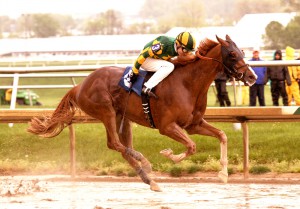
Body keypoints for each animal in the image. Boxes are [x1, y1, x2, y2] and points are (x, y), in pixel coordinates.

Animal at [28, 35, 256, 192]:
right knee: (115, 143)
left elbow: (222, 135)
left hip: (122, 117)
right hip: (106, 111)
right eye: (232, 54)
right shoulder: (167, 127)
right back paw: (145, 163)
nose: (252, 77)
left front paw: (223, 175)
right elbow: (191, 146)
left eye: (243, 52)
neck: (188, 84)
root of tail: (80, 85)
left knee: (121, 147)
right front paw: (169, 155)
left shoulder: (194, 124)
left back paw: (150, 180)